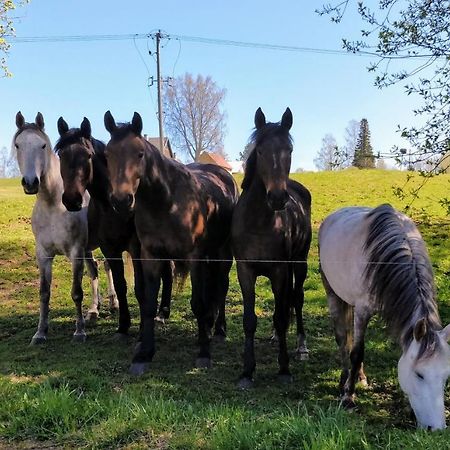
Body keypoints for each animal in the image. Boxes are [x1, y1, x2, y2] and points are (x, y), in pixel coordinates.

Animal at [12, 111, 108, 342]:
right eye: (18, 145)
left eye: (42, 146)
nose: (31, 182)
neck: (53, 205)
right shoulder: (43, 254)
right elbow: (44, 293)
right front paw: (40, 332)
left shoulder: (75, 252)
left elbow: (76, 292)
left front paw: (79, 331)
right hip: (88, 249)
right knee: (95, 269)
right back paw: (94, 310)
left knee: (107, 267)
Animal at [55, 116, 174, 338]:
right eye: (61, 154)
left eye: (88, 155)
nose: (72, 200)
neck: (111, 207)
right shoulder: (109, 248)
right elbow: (120, 285)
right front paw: (123, 325)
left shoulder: (135, 247)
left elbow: (140, 287)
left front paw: (142, 327)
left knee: (167, 272)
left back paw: (162, 313)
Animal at [102, 110, 239, 374]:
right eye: (107, 154)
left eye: (140, 153)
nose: (122, 201)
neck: (167, 203)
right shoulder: (150, 256)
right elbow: (148, 302)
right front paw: (143, 354)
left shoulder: (194, 257)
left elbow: (198, 302)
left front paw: (204, 353)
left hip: (223, 252)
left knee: (221, 286)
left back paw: (218, 330)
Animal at [230, 107, 312, 388]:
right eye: (261, 151)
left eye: (289, 150)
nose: (277, 197)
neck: (259, 222)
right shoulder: (245, 271)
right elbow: (249, 320)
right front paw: (246, 371)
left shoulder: (279, 270)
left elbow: (281, 314)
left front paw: (284, 369)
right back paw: (277, 337)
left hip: (299, 263)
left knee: (295, 299)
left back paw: (301, 346)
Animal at [318, 204, 450, 428]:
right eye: (419, 375)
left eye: (446, 376)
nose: (437, 429)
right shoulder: (362, 310)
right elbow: (357, 353)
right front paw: (348, 397)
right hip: (333, 293)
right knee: (343, 340)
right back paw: (344, 379)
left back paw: (360, 377)